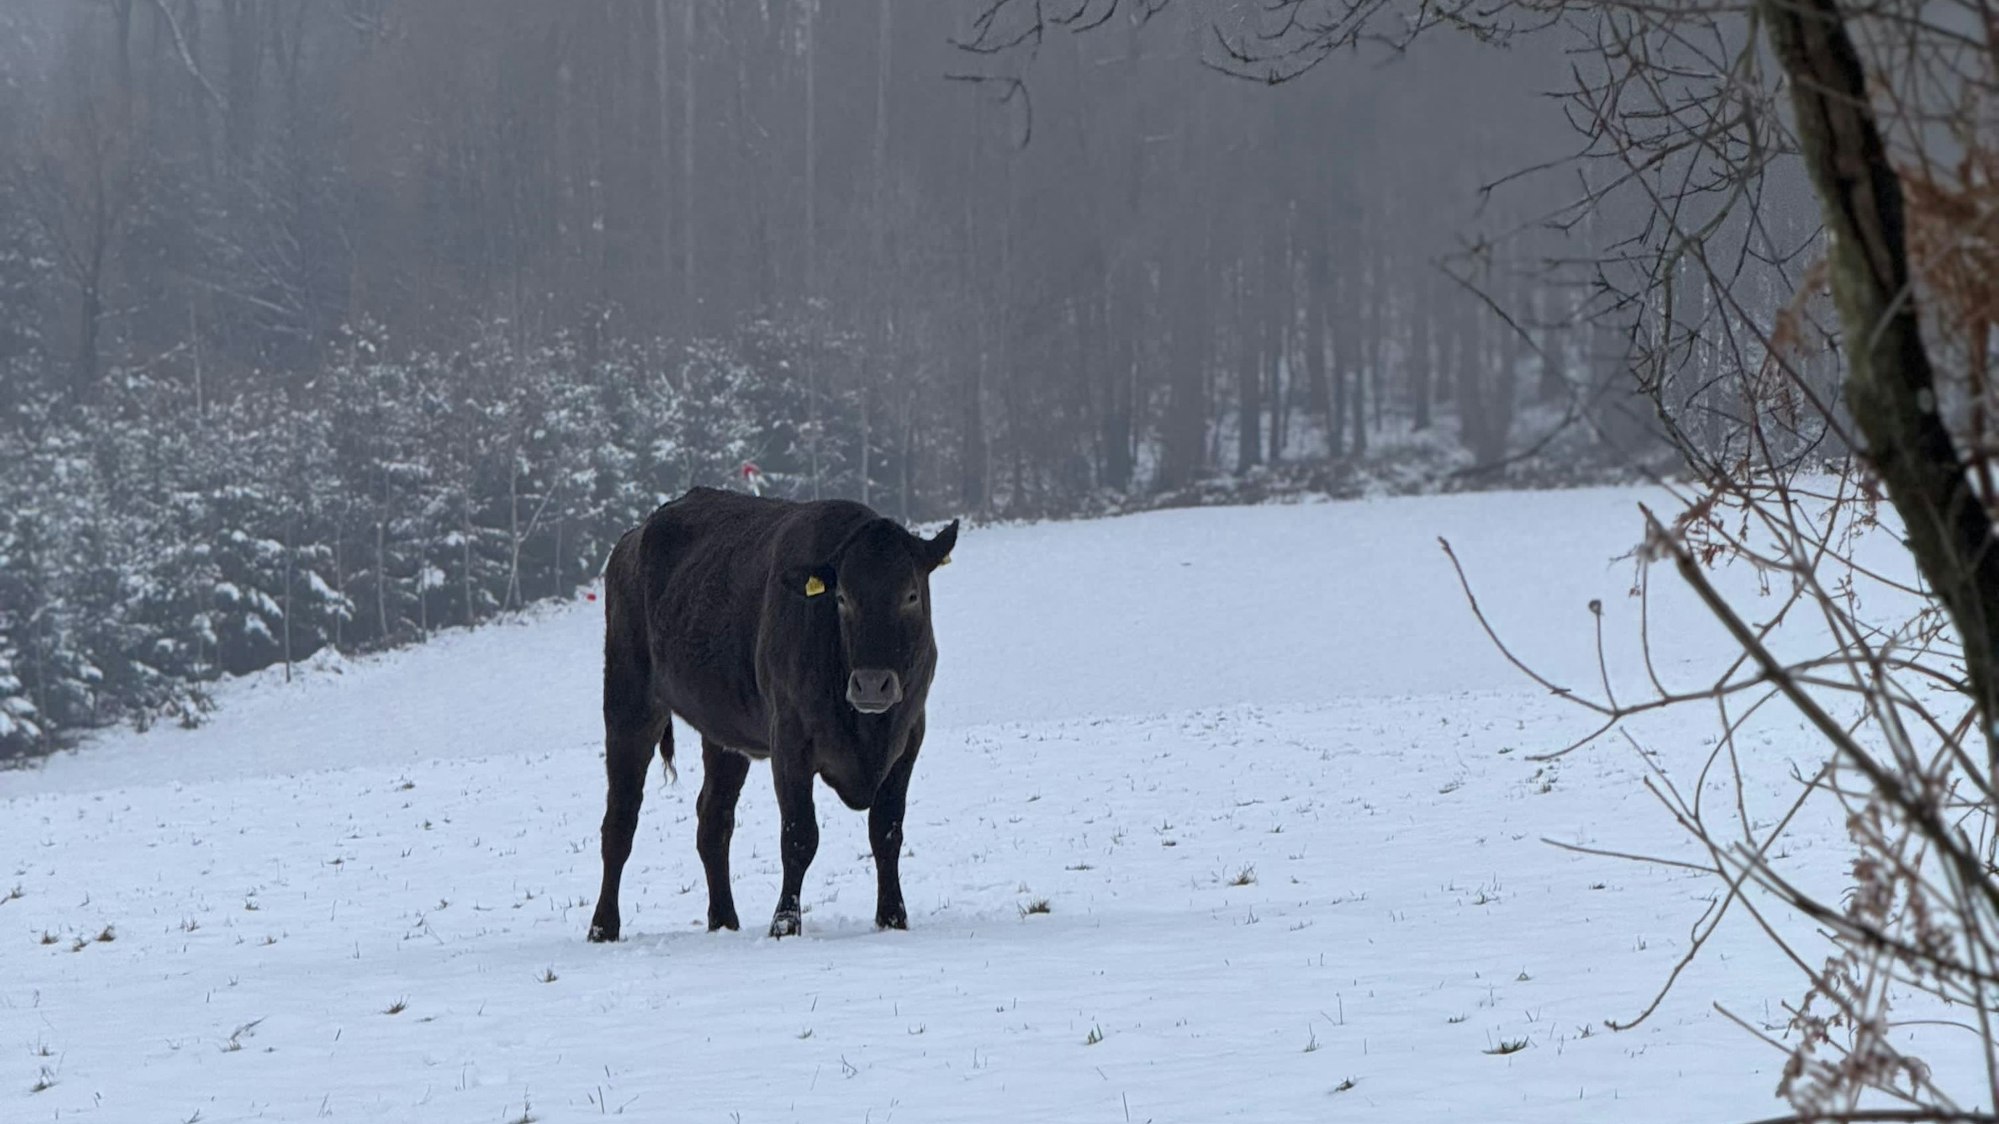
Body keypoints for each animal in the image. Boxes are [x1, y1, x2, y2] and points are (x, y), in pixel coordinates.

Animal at [587, 486, 958, 943]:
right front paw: (784, 923)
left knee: (713, 821)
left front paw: (892, 918)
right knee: (620, 820)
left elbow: (886, 831)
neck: (866, 729)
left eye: (910, 595)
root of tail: (634, 537)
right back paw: (603, 926)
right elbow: (799, 837)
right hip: (629, 701)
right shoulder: (790, 741)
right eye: (842, 598)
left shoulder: (908, 738)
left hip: (724, 732)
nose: (872, 684)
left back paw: (724, 921)